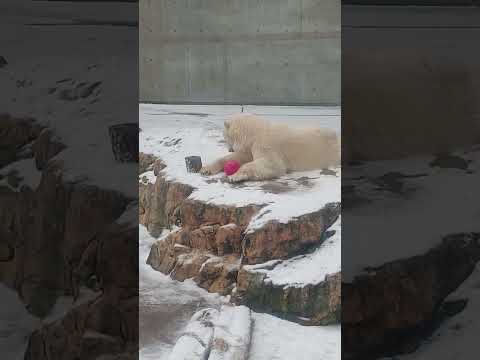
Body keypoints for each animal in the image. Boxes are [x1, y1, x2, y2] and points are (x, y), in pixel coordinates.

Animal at [201, 114, 340, 183]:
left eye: (224, 136)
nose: (230, 149)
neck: (254, 132)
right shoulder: (250, 147)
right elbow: (242, 157)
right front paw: (206, 169)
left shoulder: (266, 144)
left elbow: (272, 164)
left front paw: (234, 176)